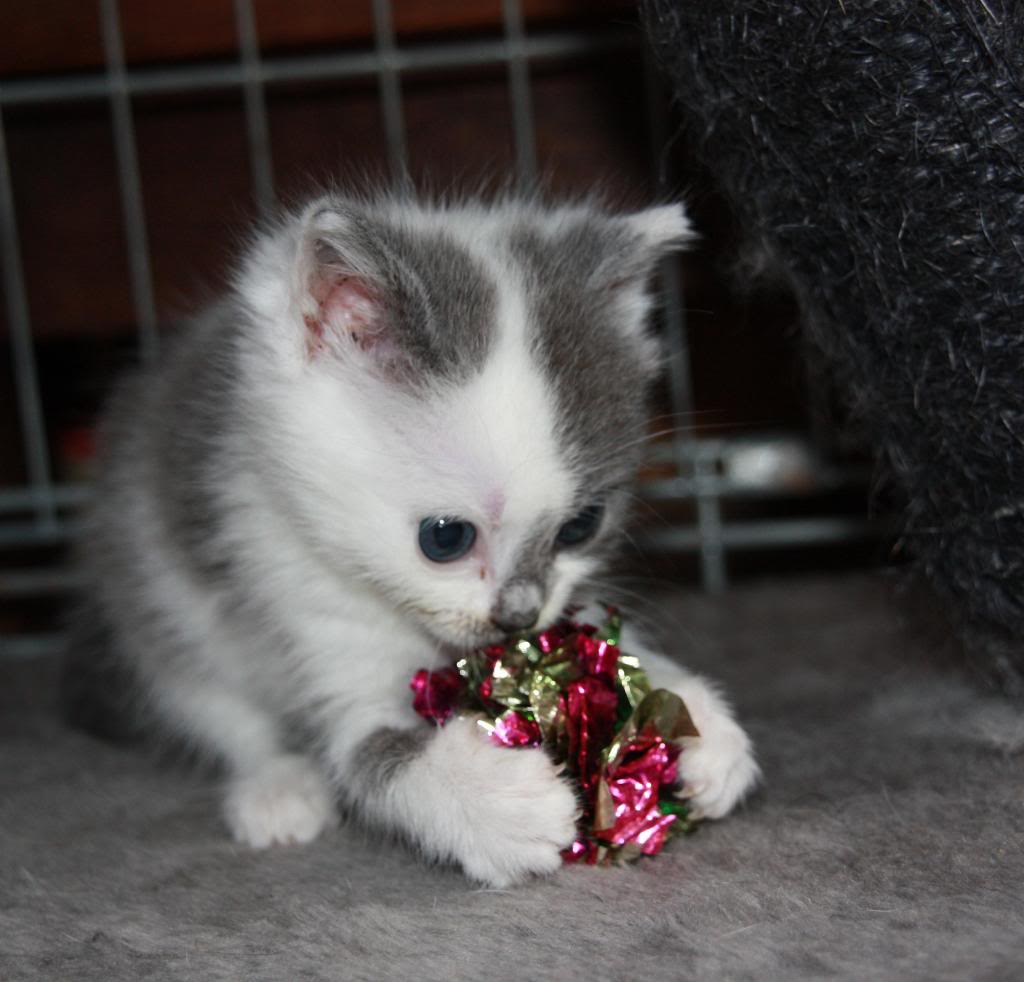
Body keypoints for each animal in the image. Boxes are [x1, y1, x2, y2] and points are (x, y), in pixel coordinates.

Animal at [64, 193, 757, 892]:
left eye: (582, 526)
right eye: (445, 538)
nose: (518, 616)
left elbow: (599, 633)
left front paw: (699, 722)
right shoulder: (291, 580)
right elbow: (367, 744)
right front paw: (492, 801)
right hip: (147, 591)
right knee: (211, 702)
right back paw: (275, 786)